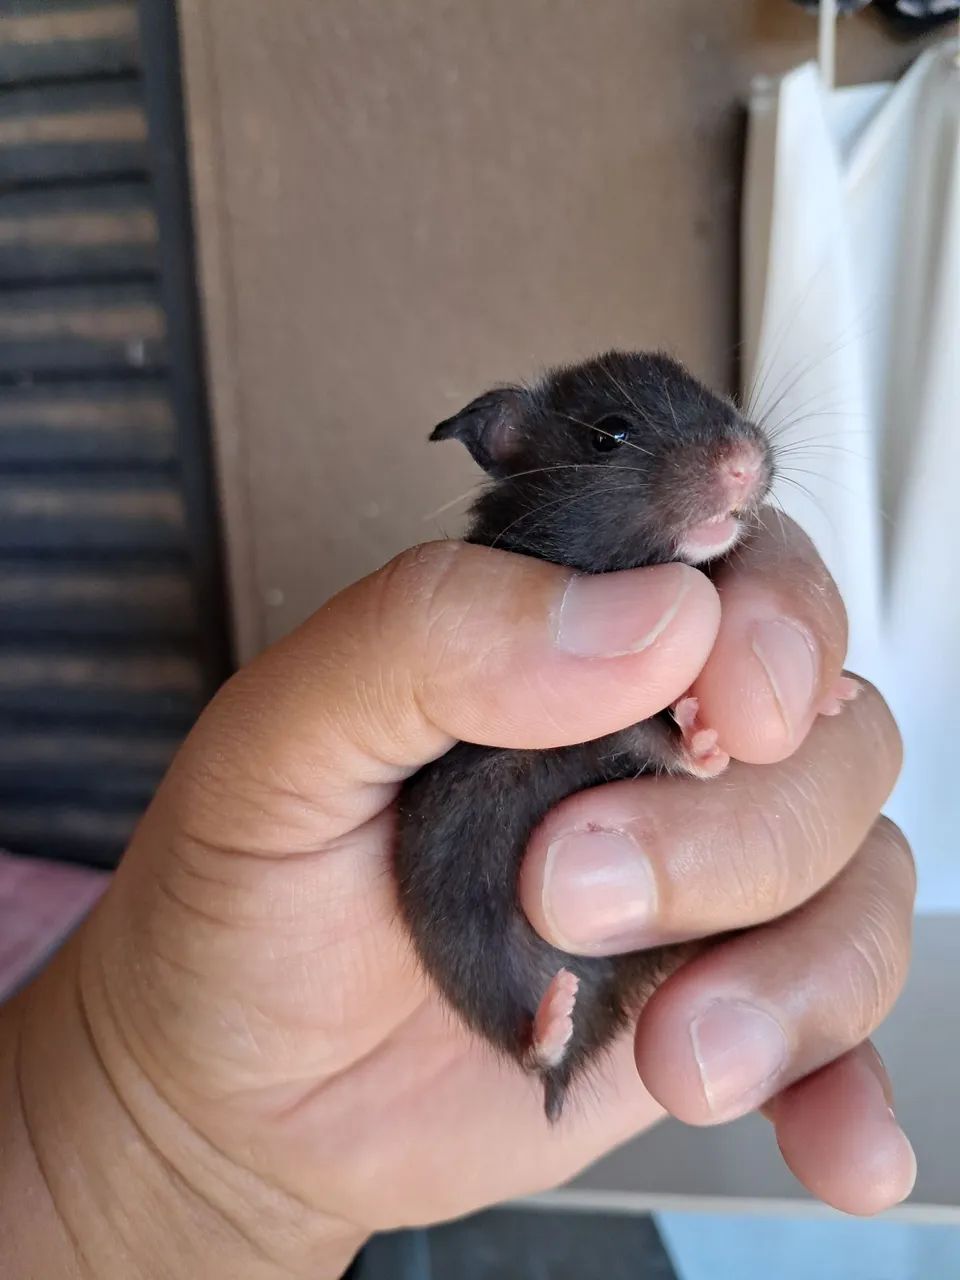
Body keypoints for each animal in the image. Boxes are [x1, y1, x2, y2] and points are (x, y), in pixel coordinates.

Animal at [394, 351, 774, 1121]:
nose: (746, 462)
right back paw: (553, 1016)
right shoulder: (575, 717)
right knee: (525, 1041)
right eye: (609, 435)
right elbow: (648, 736)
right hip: (462, 940)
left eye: (719, 398)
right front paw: (706, 740)